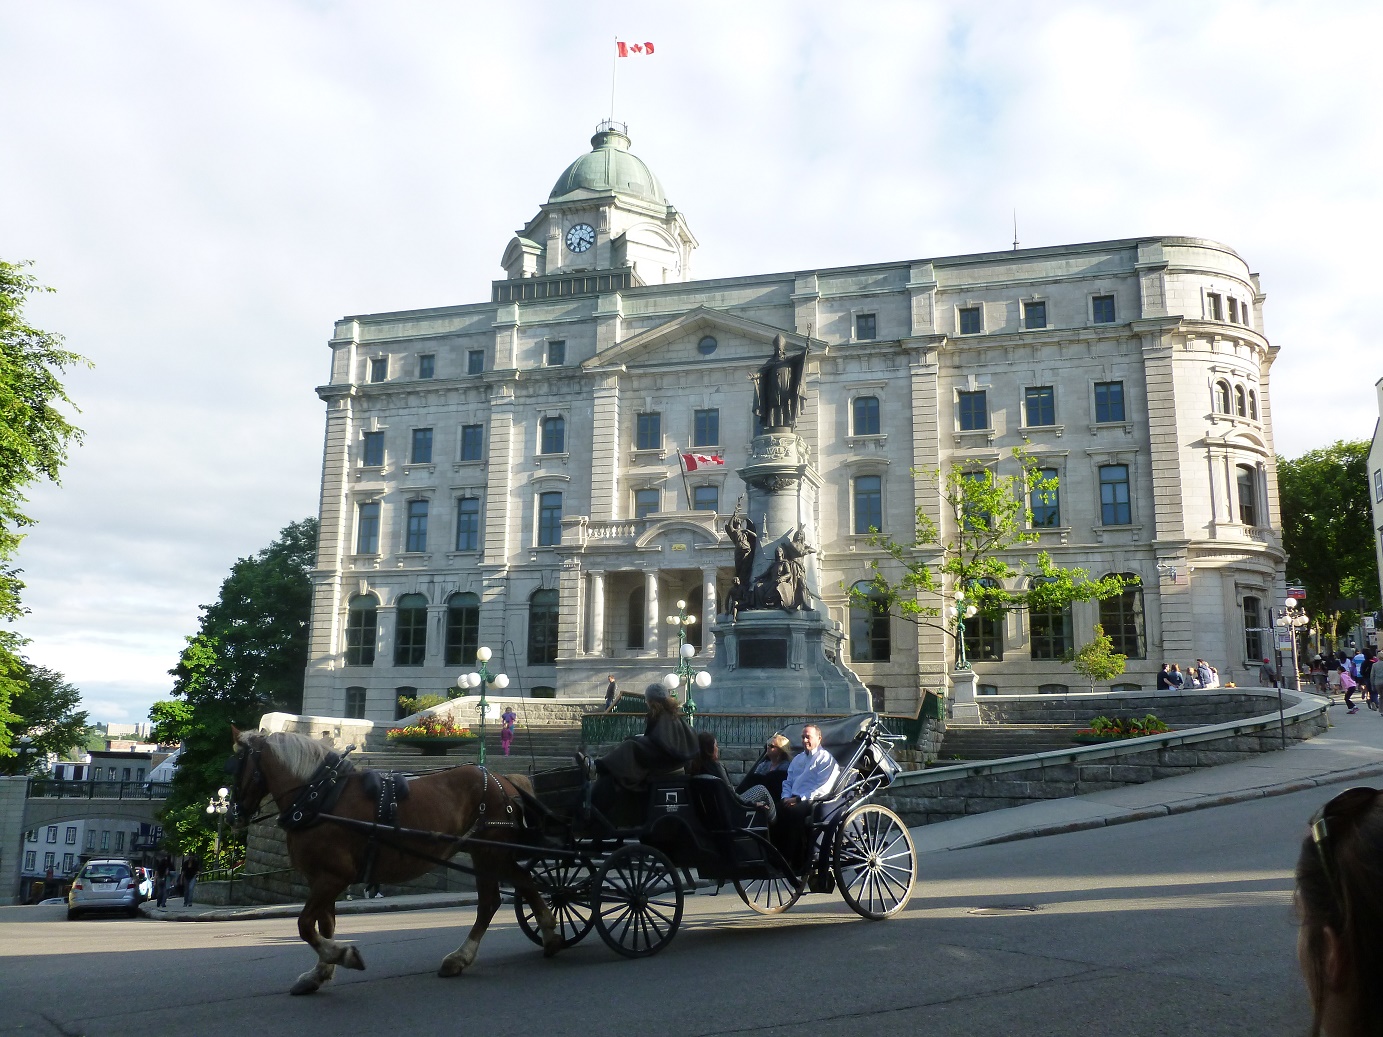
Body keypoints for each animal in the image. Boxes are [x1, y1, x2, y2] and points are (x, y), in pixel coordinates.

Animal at [226, 726, 562, 995]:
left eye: (237, 765)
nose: (232, 816)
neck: (319, 797)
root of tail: (504, 779)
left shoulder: (335, 876)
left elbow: (306, 926)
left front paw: (343, 956)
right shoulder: (323, 878)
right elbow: (325, 924)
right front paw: (320, 972)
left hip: (489, 852)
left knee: (496, 898)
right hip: (488, 853)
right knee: (520, 885)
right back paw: (544, 935)